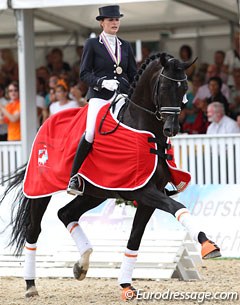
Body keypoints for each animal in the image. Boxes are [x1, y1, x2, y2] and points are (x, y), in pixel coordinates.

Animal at [0, 52, 221, 300]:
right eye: (164, 86)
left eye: (184, 88)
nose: (171, 129)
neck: (147, 133)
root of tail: (46, 121)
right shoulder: (143, 191)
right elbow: (178, 207)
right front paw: (208, 245)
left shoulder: (148, 197)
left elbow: (135, 239)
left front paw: (126, 285)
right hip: (41, 191)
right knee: (33, 231)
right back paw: (30, 285)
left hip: (94, 193)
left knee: (65, 213)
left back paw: (81, 265)